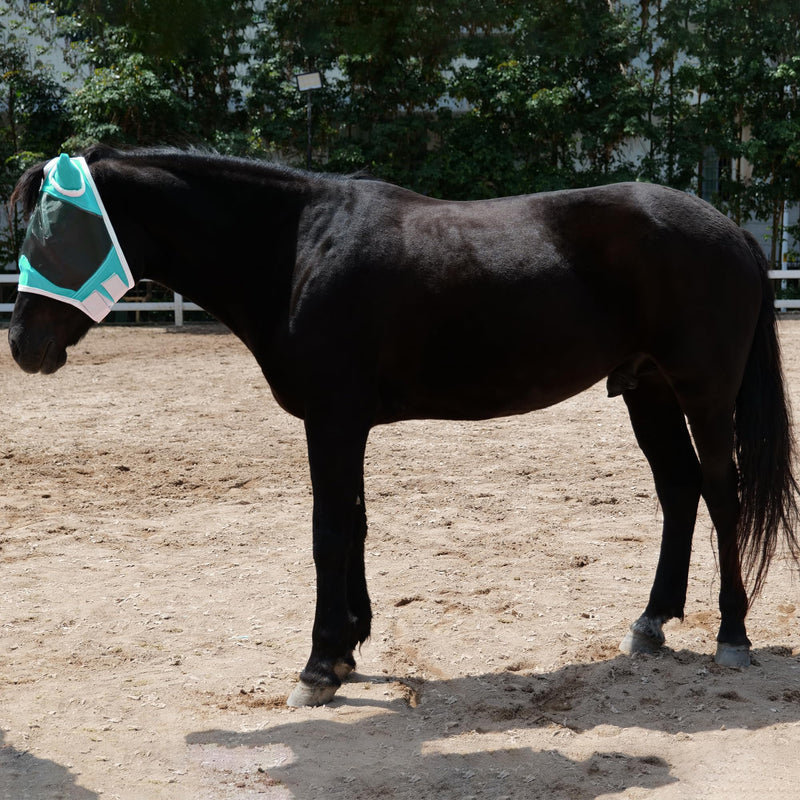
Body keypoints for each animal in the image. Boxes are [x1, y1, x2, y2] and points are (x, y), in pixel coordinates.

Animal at [8, 145, 799, 707]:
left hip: (704, 393)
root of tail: (733, 232)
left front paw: (319, 664)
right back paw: (652, 622)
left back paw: (732, 633)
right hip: (647, 391)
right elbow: (355, 523)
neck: (298, 249)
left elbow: (329, 530)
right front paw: (350, 645)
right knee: (679, 491)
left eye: (63, 232)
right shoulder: (347, 424)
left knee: (721, 496)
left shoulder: (331, 421)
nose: (22, 345)